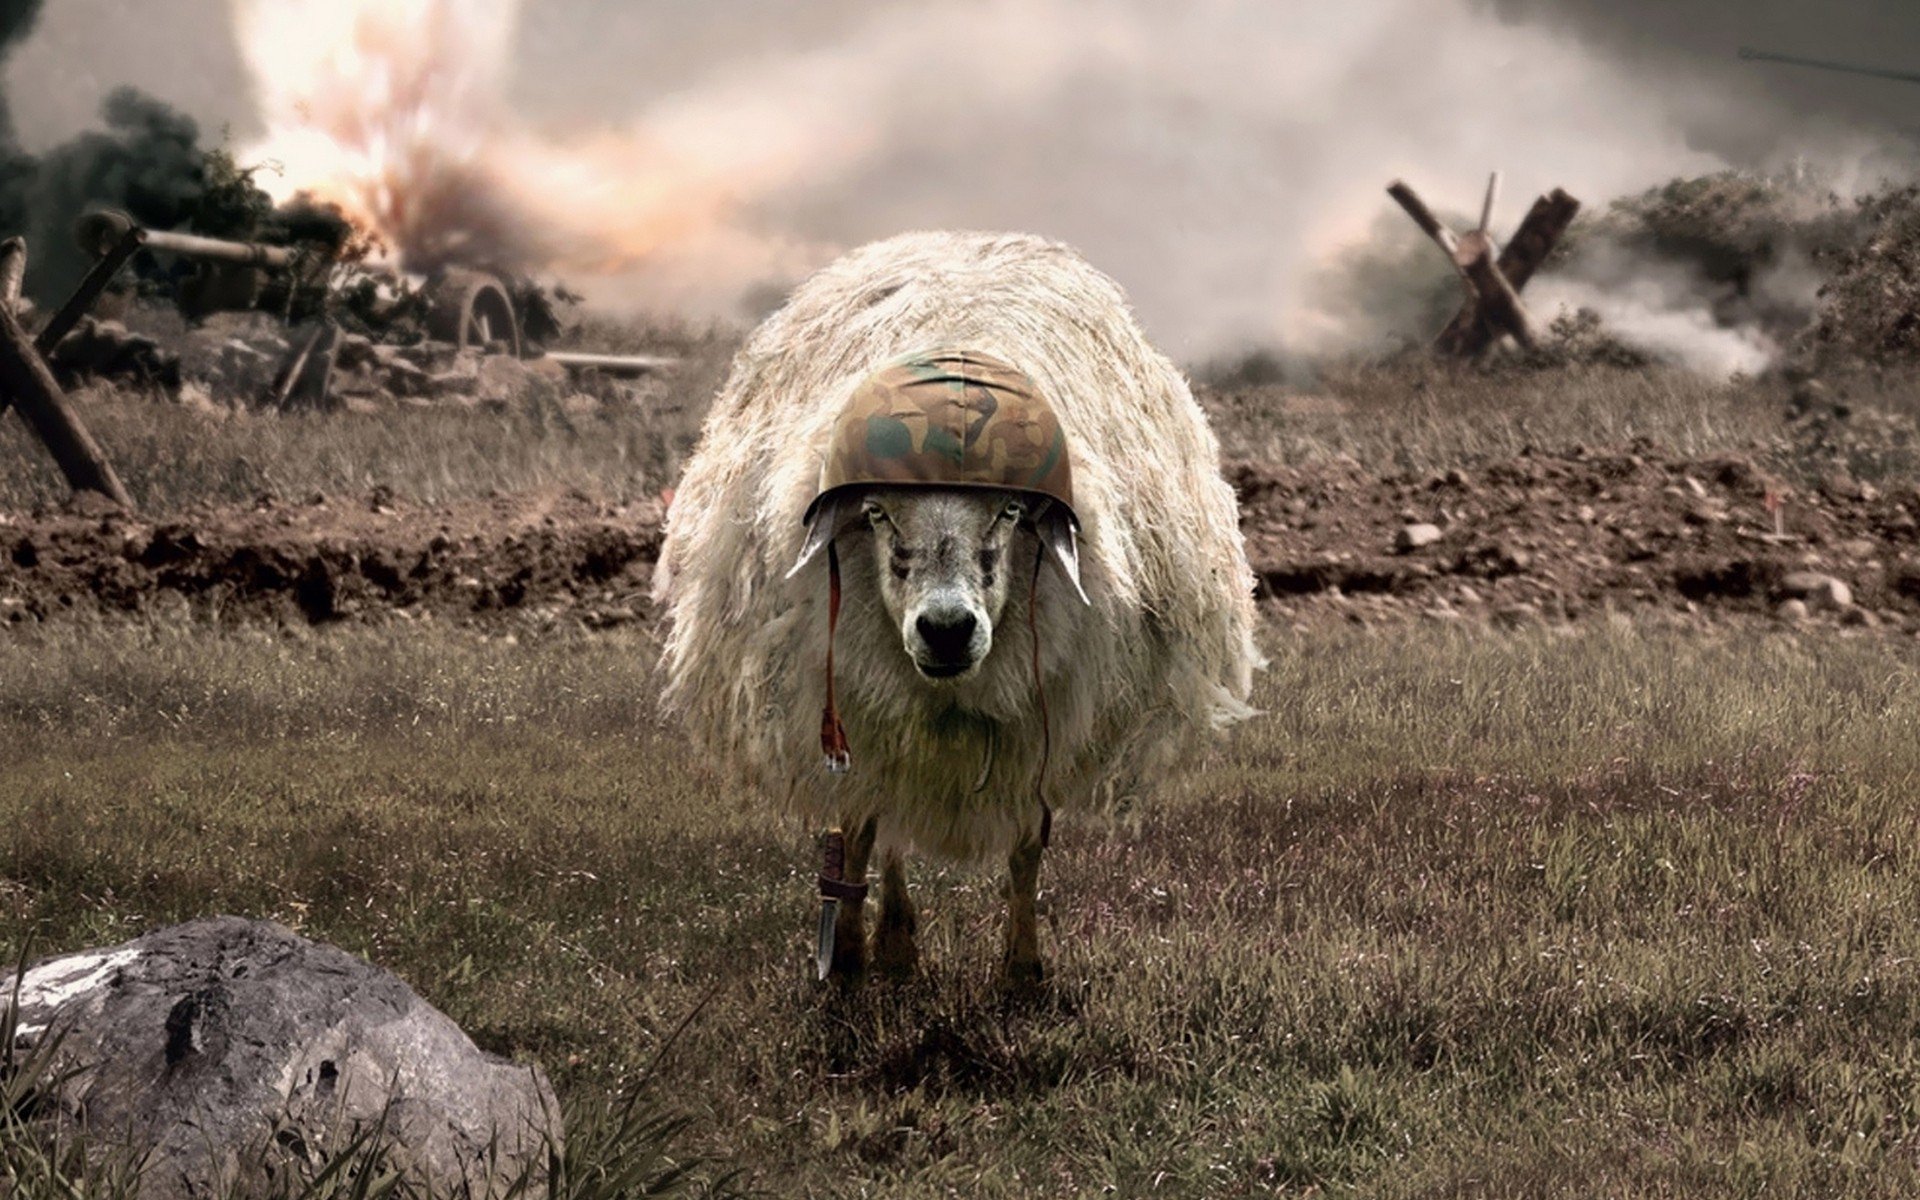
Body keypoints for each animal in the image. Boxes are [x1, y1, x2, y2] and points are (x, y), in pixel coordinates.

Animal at [655, 230, 1260, 982]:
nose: (946, 630)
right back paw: (892, 940)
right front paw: (849, 957)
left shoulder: (1040, 717)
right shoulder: (855, 705)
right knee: (880, 823)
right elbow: (859, 830)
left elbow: (1026, 851)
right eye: (877, 513)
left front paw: (1023, 970)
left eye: (1009, 511)